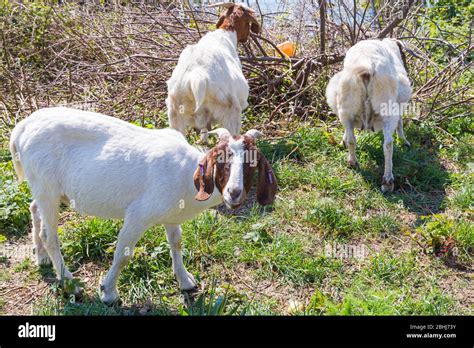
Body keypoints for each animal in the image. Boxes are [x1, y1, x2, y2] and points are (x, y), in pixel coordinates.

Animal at [8, 107, 278, 304]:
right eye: (221, 159)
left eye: (252, 162)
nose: (234, 192)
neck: (185, 175)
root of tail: (21, 128)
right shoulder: (138, 215)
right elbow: (123, 253)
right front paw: (108, 292)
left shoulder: (171, 216)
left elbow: (176, 242)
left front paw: (185, 281)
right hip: (47, 187)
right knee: (49, 234)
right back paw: (71, 284)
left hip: (44, 188)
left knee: (34, 209)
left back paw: (42, 258)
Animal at [326, 38, 412, 193]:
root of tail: (367, 65)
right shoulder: (399, 105)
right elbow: (400, 123)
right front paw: (404, 141)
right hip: (387, 107)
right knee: (388, 144)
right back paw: (388, 180)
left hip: (346, 106)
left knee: (352, 139)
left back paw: (353, 163)